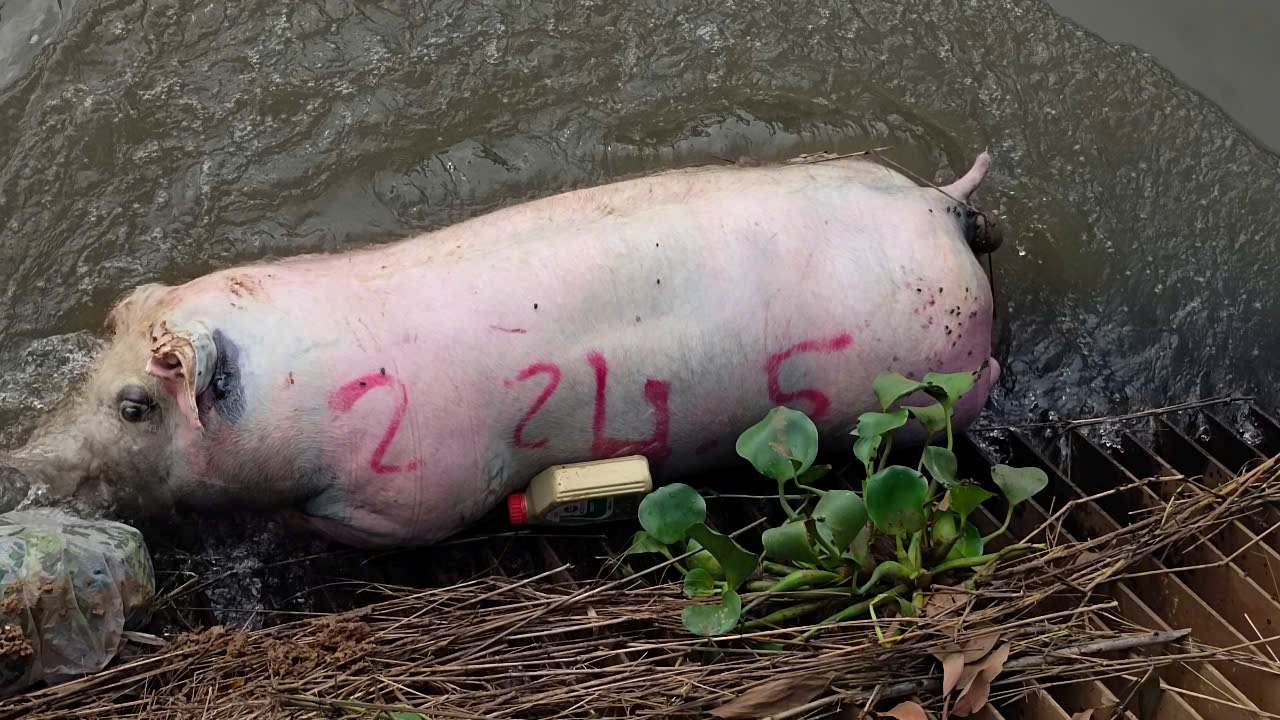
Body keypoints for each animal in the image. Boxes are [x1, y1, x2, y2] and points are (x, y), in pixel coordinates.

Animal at [2, 152, 1003, 547]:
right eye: (98, 377)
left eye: (135, 405)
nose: (19, 463)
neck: (293, 401)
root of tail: (939, 205)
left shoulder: (413, 497)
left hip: (929, 379)